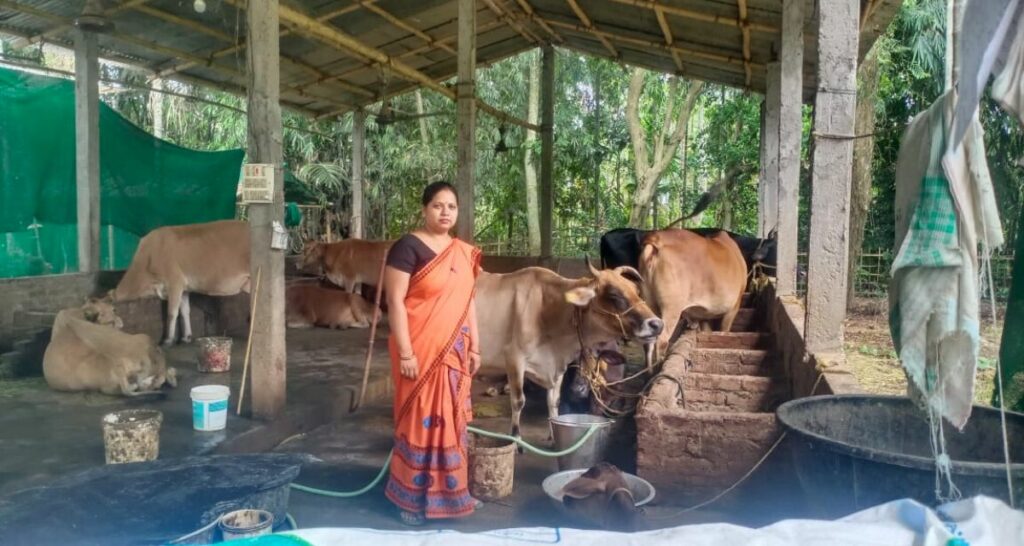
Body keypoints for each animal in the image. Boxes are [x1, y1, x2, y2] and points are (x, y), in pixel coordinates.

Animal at [112, 218, 249, 342]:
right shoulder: (184, 287)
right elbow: (185, 311)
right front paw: (186, 337)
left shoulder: (175, 281)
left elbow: (172, 313)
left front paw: (168, 340)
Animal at [473, 258, 663, 438]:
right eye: (614, 295)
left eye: (637, 291)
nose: (657, 324)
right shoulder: (514, 358)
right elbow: (518, 401)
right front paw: (516, 439)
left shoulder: (558, 367)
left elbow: (554, 401)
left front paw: (553, 435)